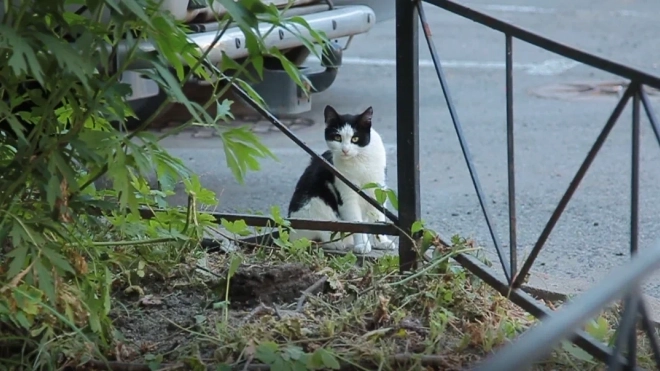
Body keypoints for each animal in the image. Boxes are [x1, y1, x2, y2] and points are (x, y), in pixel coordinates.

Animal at [286, 106, 394, 254]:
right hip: (314, 207)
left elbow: (378, 215)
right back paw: (337, 244)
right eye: (337, 137)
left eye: (355, 138)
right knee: (316, 238)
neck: (358, 160)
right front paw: (362, 245)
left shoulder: (377, 188)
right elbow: (355, 222)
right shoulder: (347, 195)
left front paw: (382, 242)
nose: (345, 150)